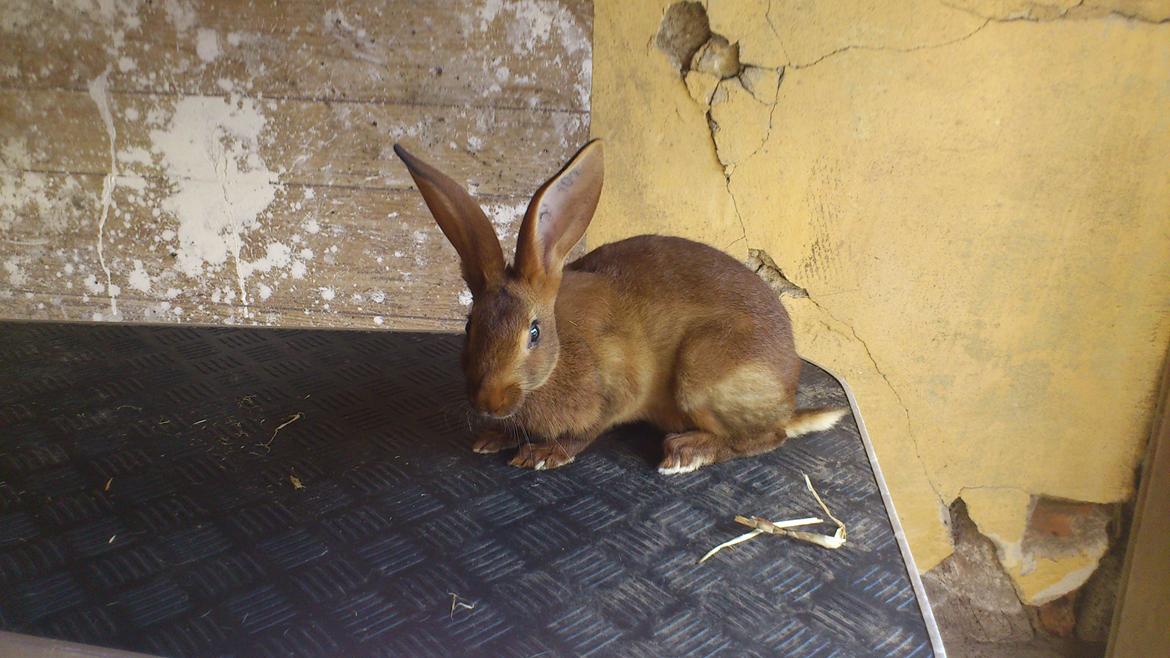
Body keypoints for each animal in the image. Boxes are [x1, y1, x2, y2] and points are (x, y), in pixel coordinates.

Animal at [393, 139, 846, 474]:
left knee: (768, 437)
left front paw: (543, 453)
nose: (489, 402)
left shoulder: (619, 386)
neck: (561, 355)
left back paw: (686, 451)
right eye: (469, 326)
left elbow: (587, 431)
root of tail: (787, 399)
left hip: (703, 374)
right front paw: (493, 438)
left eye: (534, 333)